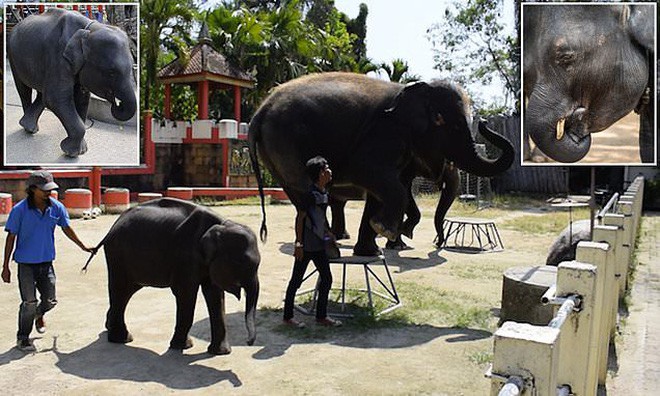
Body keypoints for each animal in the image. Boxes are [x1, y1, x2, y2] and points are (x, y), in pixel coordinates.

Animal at [8, 7, 137, 156]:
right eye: (111, 72)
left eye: (132, 67)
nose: (118, 104)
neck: (89, 29)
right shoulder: (58, 56)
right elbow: (56, 98)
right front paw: (71, 152)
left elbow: (81, 97)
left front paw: (80, 151)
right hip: (12, 55)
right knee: (24, 90)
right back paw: (29, 129)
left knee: (42, 93)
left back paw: (28, 125)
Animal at [85, 198, 262, 356]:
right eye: (240, 262)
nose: (249, 342)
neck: (220, 225)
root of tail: (112, 228)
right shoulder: (185, 257)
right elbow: (186, 294)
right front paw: (182, 346)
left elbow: (215, 295)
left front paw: (220, 353)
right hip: (117, 256)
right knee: (120, 290)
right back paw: (122, 339)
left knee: (127, 291)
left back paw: (111, 329)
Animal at [250, 72, 512, 255]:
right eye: (444, 121)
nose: (485, 122)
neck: (412, 89)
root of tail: (260, 110)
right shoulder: (385, 132)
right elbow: (367, 171)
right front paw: (387, 231)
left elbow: (385, 190)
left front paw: (376, 247)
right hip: (287, 142)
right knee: (308, 191)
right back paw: (331, 248)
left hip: (276, 152)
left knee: (301, 196)